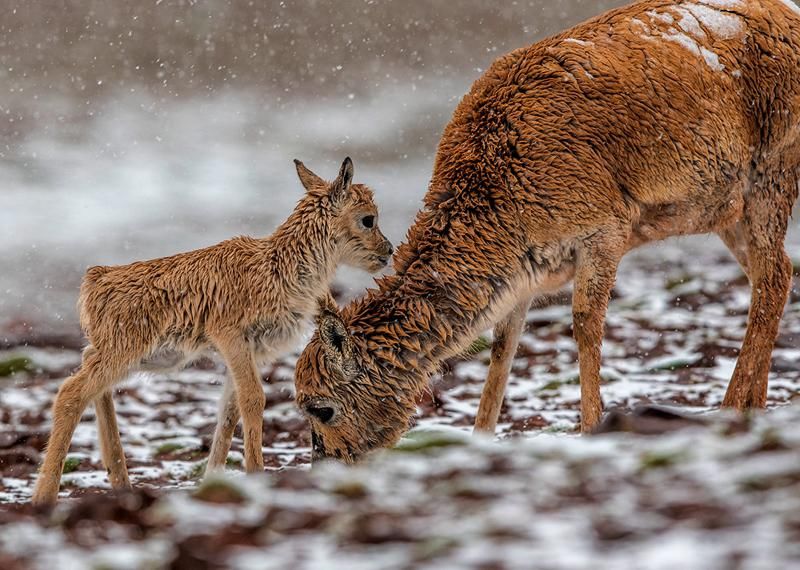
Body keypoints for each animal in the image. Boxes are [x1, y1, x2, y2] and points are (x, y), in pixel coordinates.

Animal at [32, 156, 394, 502]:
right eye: (368, 219)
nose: (388, 251)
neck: (278, 268)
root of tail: (96, 278)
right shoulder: (231, 337)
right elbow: (253, 399)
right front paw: (255, 473)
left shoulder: (251, 351)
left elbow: (229, 411)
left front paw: (213, 479)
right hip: (123, 350)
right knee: (71, 392)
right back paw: (44, 495)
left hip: (114, 351)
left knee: (92, 383)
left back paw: (120, 481)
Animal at [294, 0, 800, 460]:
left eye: (322, 407)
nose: (328, 462)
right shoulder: (524, 277)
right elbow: (502, 348)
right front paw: (480, 437)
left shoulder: (604, 231)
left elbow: (585, 323)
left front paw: (592, 427)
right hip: (730, 211)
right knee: (771, 277)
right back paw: (754, 407)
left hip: (772, 173)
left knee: (774, 276)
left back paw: (732, 408)